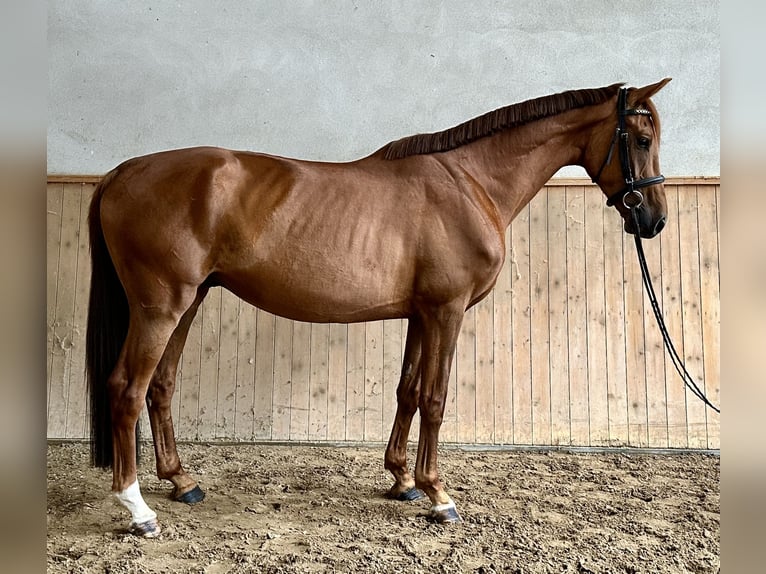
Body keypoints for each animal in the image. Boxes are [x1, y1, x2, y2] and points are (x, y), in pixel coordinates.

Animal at [86, 79, 671, 536]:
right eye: (642, 140)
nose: (654, 220)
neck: (471, 182)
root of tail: (123, 171)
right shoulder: (447, 311)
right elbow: (435, 398)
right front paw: (438, 495)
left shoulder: (420, 313)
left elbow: (407, 392)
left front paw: (402, 480)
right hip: (160, 307)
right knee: (127, 389)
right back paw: (137, 509)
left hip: (188, 303)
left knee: (160, 387)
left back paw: (182, 482)